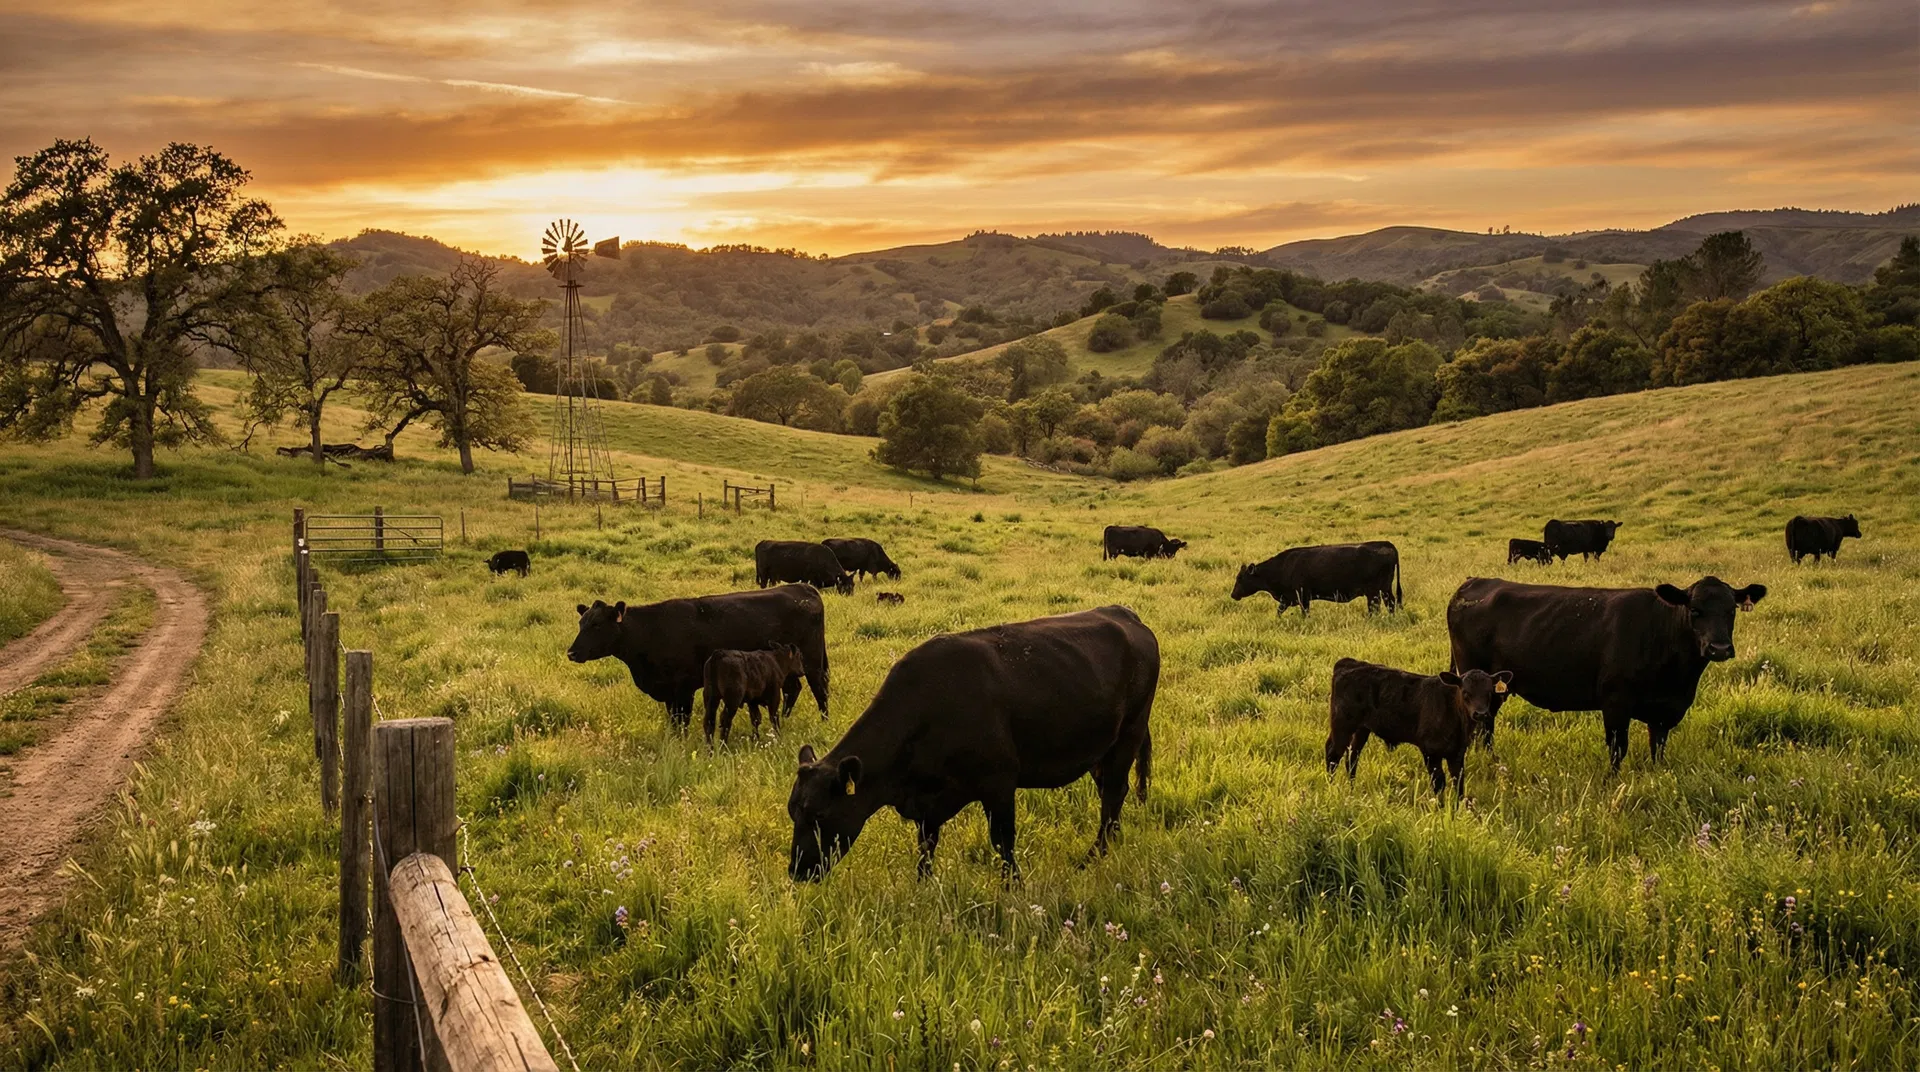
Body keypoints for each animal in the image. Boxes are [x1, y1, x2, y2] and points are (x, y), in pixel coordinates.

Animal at [568, 585, 830, 731]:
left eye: (597, 625)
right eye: (581, 623)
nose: (571, 652)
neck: (651, 630)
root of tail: (803, 588)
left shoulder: (683, 689)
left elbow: (681, 720)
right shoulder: (669, 692)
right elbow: (673, 720)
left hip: (812, 661)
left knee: (820, 690)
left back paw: (824, 722)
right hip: (788, 667)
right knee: (793, 689)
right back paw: (786, 719)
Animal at [786, 605, 1159, 882]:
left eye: (820, 815)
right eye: (793, 812)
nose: (797, 872)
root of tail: (1126, 615)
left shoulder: (999, 782)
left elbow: (1003, 841)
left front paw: (1013, 888)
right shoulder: (928, 802)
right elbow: (926, 845)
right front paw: (923, 886)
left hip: (1129, 733)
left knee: (1113, 793)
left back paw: (1093, 857)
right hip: (1101, 751)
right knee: (1112, 795)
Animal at [1231, 541, 1402, 615]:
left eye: (1240, 578)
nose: (1233, 595)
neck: (1283, 566)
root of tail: (1386, 544)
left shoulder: (1302, 596)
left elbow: (1305, 613)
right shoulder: (1287, 598)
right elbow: (1279, 611)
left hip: (1373, 591)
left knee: (1376, 607)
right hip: (1385, 589)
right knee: (1390, 603)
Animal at [1326, 658, 1512, 799]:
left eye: (1489, 692)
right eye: (1466, 692)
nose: (1480, 713)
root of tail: (1349, 663)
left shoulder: (1457, 753)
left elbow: (1458, 783)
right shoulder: (1430, 751)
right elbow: (1439, 784)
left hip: (1362, 729)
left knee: (1352, 757)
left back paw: (1351, 789)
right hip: (1342, 725)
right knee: (1333, 754)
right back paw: (1331, 788)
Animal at [1447, 576, 1766, 771]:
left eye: (1731, 610)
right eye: (1695, 610)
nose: (1719, 648)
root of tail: (1474, 583)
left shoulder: (1665, 711)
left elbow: (1658, 747)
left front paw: (1658, 775)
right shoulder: (1615, 702)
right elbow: (1617, 749)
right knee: (1482, 726)